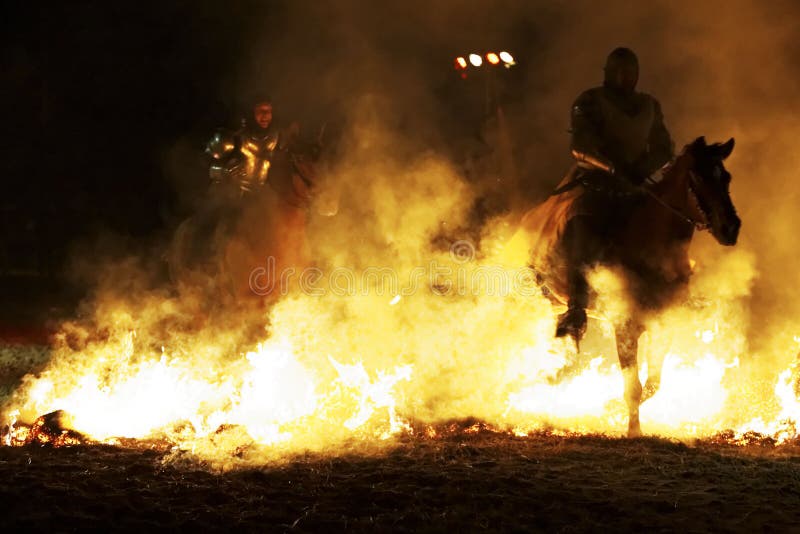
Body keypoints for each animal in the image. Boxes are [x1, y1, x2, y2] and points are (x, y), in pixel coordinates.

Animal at [516, 138, 740, 440]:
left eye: (725, 177)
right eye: (699, 178)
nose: (731, 228)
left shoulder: (663, 326)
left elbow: (653, 383)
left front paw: (613, 407)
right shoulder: (625, 326)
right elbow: (633, 386)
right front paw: (634, 430)